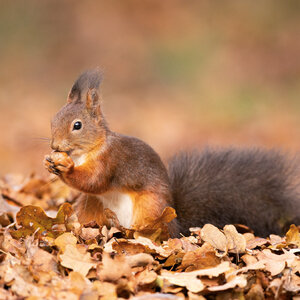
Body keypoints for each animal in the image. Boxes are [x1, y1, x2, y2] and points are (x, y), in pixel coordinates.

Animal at [44, 68, 300, 237]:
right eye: (53, 119)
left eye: (77, 125)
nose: (55, 146)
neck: (86, 152)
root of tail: (177, 224)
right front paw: (50, 164)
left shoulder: (111, 161)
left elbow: (94, 181)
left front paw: (66, 169)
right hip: (91, 206)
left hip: (150, 207)